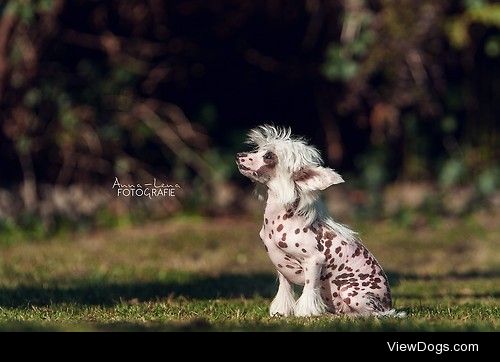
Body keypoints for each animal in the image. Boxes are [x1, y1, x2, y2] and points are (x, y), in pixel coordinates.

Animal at [234, 125, 402, 316]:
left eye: (268, 156)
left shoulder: (313, 261)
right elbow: (284, 289)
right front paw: (281, 311)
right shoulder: (281, 267)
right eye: (259, 150)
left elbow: (309, 289)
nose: (239, 155)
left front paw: (305, 313)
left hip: (351, 293)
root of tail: (388, 304)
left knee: (374, 314)